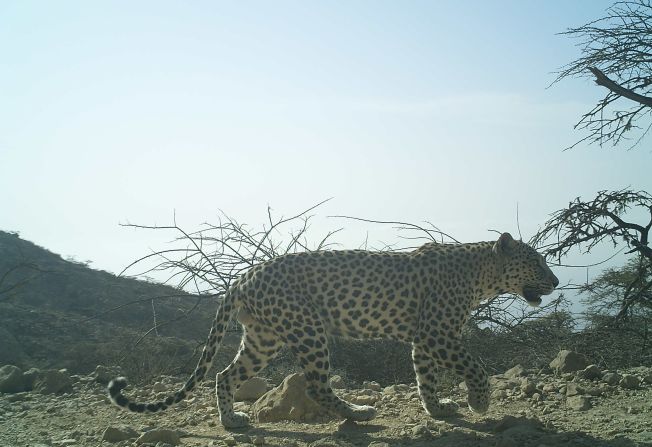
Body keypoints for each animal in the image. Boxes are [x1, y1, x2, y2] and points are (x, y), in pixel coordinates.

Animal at [108, 232, 559, 428]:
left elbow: (425, 378)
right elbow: (476, 366)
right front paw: (479, 403)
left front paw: (438, 409)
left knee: (224, 374)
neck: (482, 274)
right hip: (307, 329)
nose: (555, 282)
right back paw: (357, 412)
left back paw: (232, 419)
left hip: (263, 337)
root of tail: (242, 277)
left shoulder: (424, 339)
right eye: (537, 262)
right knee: (316, 385)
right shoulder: (437, 334)